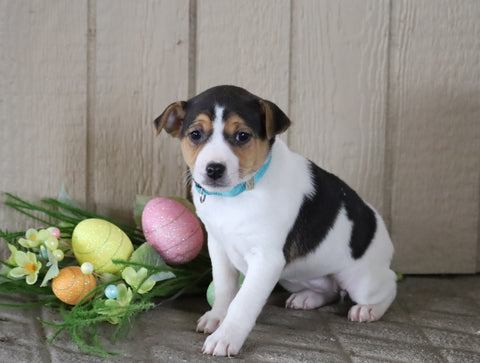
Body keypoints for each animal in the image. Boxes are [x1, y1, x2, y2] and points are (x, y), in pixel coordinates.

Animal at [155, 85, 398, 358]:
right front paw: (217, 317)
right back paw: (307, 298)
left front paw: (226, 337)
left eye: (242, 136)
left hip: (361, 281)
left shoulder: (266, 260)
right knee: (330, 290)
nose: (214, 169)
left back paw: (369, 309)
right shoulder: (218, 247)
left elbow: (243, 303)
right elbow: (224, 288)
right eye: (195, 134)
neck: (237, 195)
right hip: (294, 276)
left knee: (387, 285)